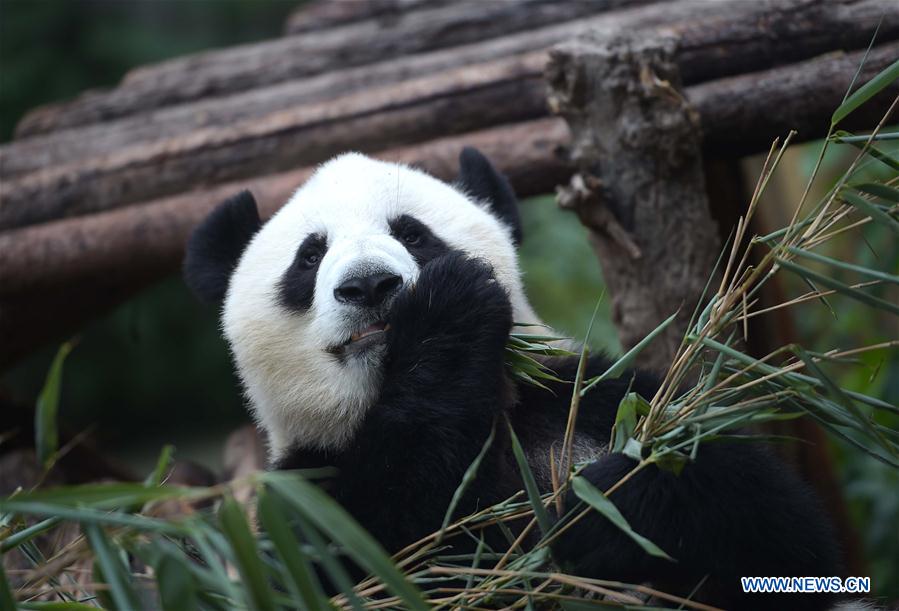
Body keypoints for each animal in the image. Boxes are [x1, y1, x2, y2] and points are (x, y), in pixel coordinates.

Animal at [184, 149, 846, 610]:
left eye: (412, 232)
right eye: (310, 257)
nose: (370, 285)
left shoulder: (582, 397)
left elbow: (777, 525)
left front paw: (610, 504)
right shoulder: (295, 497)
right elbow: (384, 550)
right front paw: (446, 314)